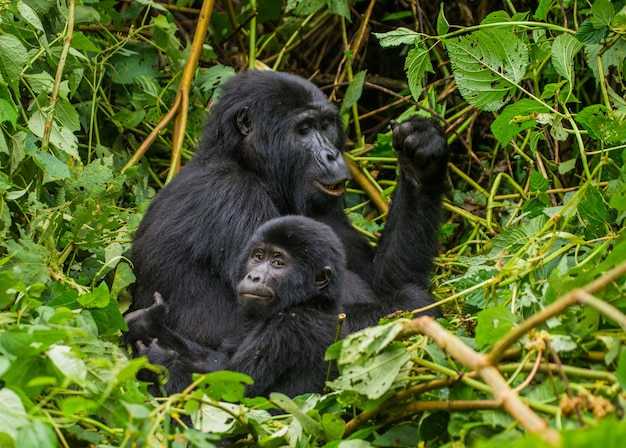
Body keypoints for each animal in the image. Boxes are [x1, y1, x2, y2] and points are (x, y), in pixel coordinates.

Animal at [123, 215, 344, 398]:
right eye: (258, 256)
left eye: (278, 263)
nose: (254, 277)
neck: (312, 301)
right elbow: (219, 362)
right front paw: (147, 324)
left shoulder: (292, 325)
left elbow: (230, 390)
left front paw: (155, 360)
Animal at [127, 69, 448, 350]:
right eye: (303, 130)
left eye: (325, 125)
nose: (332, 155)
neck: (246, 163)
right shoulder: (231, 195)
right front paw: (413, 304)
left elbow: (381, 279)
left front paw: (421, 156)